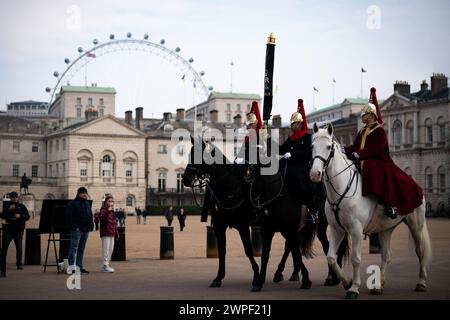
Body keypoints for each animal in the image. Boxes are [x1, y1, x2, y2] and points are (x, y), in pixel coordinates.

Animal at [183, 138, 260, 290]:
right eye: (189, 154)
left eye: (199, 156)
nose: (185, 179)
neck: (229, 188)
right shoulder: (219, 226)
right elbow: (221, 251)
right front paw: (218, 277)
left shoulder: (242, 226)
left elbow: (248, 250)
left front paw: (256, 276)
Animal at [310, 123, 432, 300]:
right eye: (312, 146)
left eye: (328, 147)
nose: (315, 174)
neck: (342, 188)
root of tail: (416, 185)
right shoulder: (336, 229)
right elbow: (331, 258)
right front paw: (346, 282)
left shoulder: (355, 229)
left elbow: (355, 259)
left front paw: (354, 288)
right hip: (386, 229)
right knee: (386, 255)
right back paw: (379, 286)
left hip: (416, 225)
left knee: (420, 250)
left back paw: (421, 283)